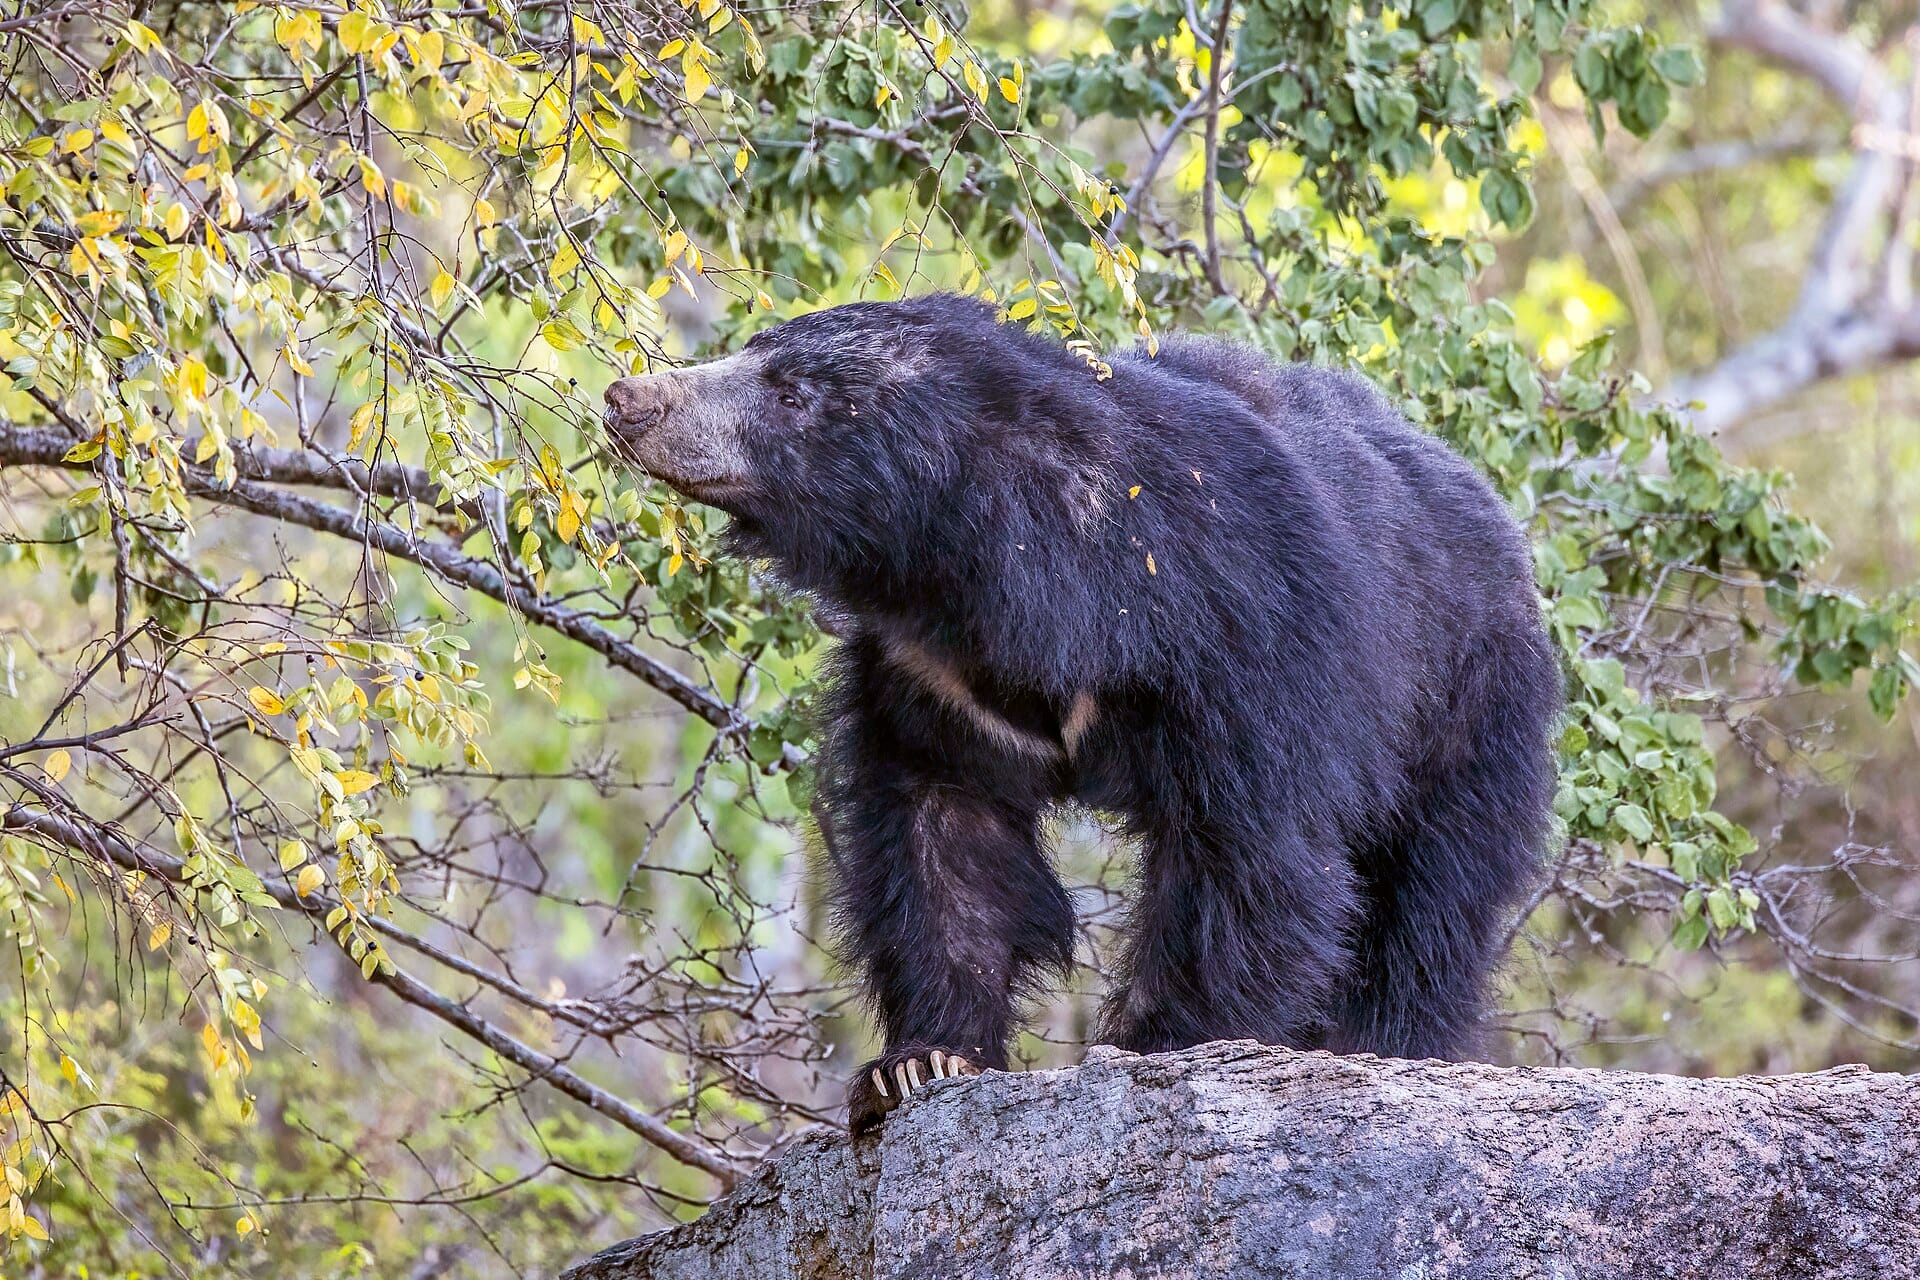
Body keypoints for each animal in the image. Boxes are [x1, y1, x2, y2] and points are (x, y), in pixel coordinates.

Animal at [601, 294, 1561, 1135]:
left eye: (792, 396)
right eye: (753, 352)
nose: (629, 398)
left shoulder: (1241, 635)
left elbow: (1248, 851)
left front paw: (1159, 1044)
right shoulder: (932, 678)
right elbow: (944, 836)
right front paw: (919, 1062)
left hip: (1468, 707)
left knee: (1431, 901)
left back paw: (1389, 1042)